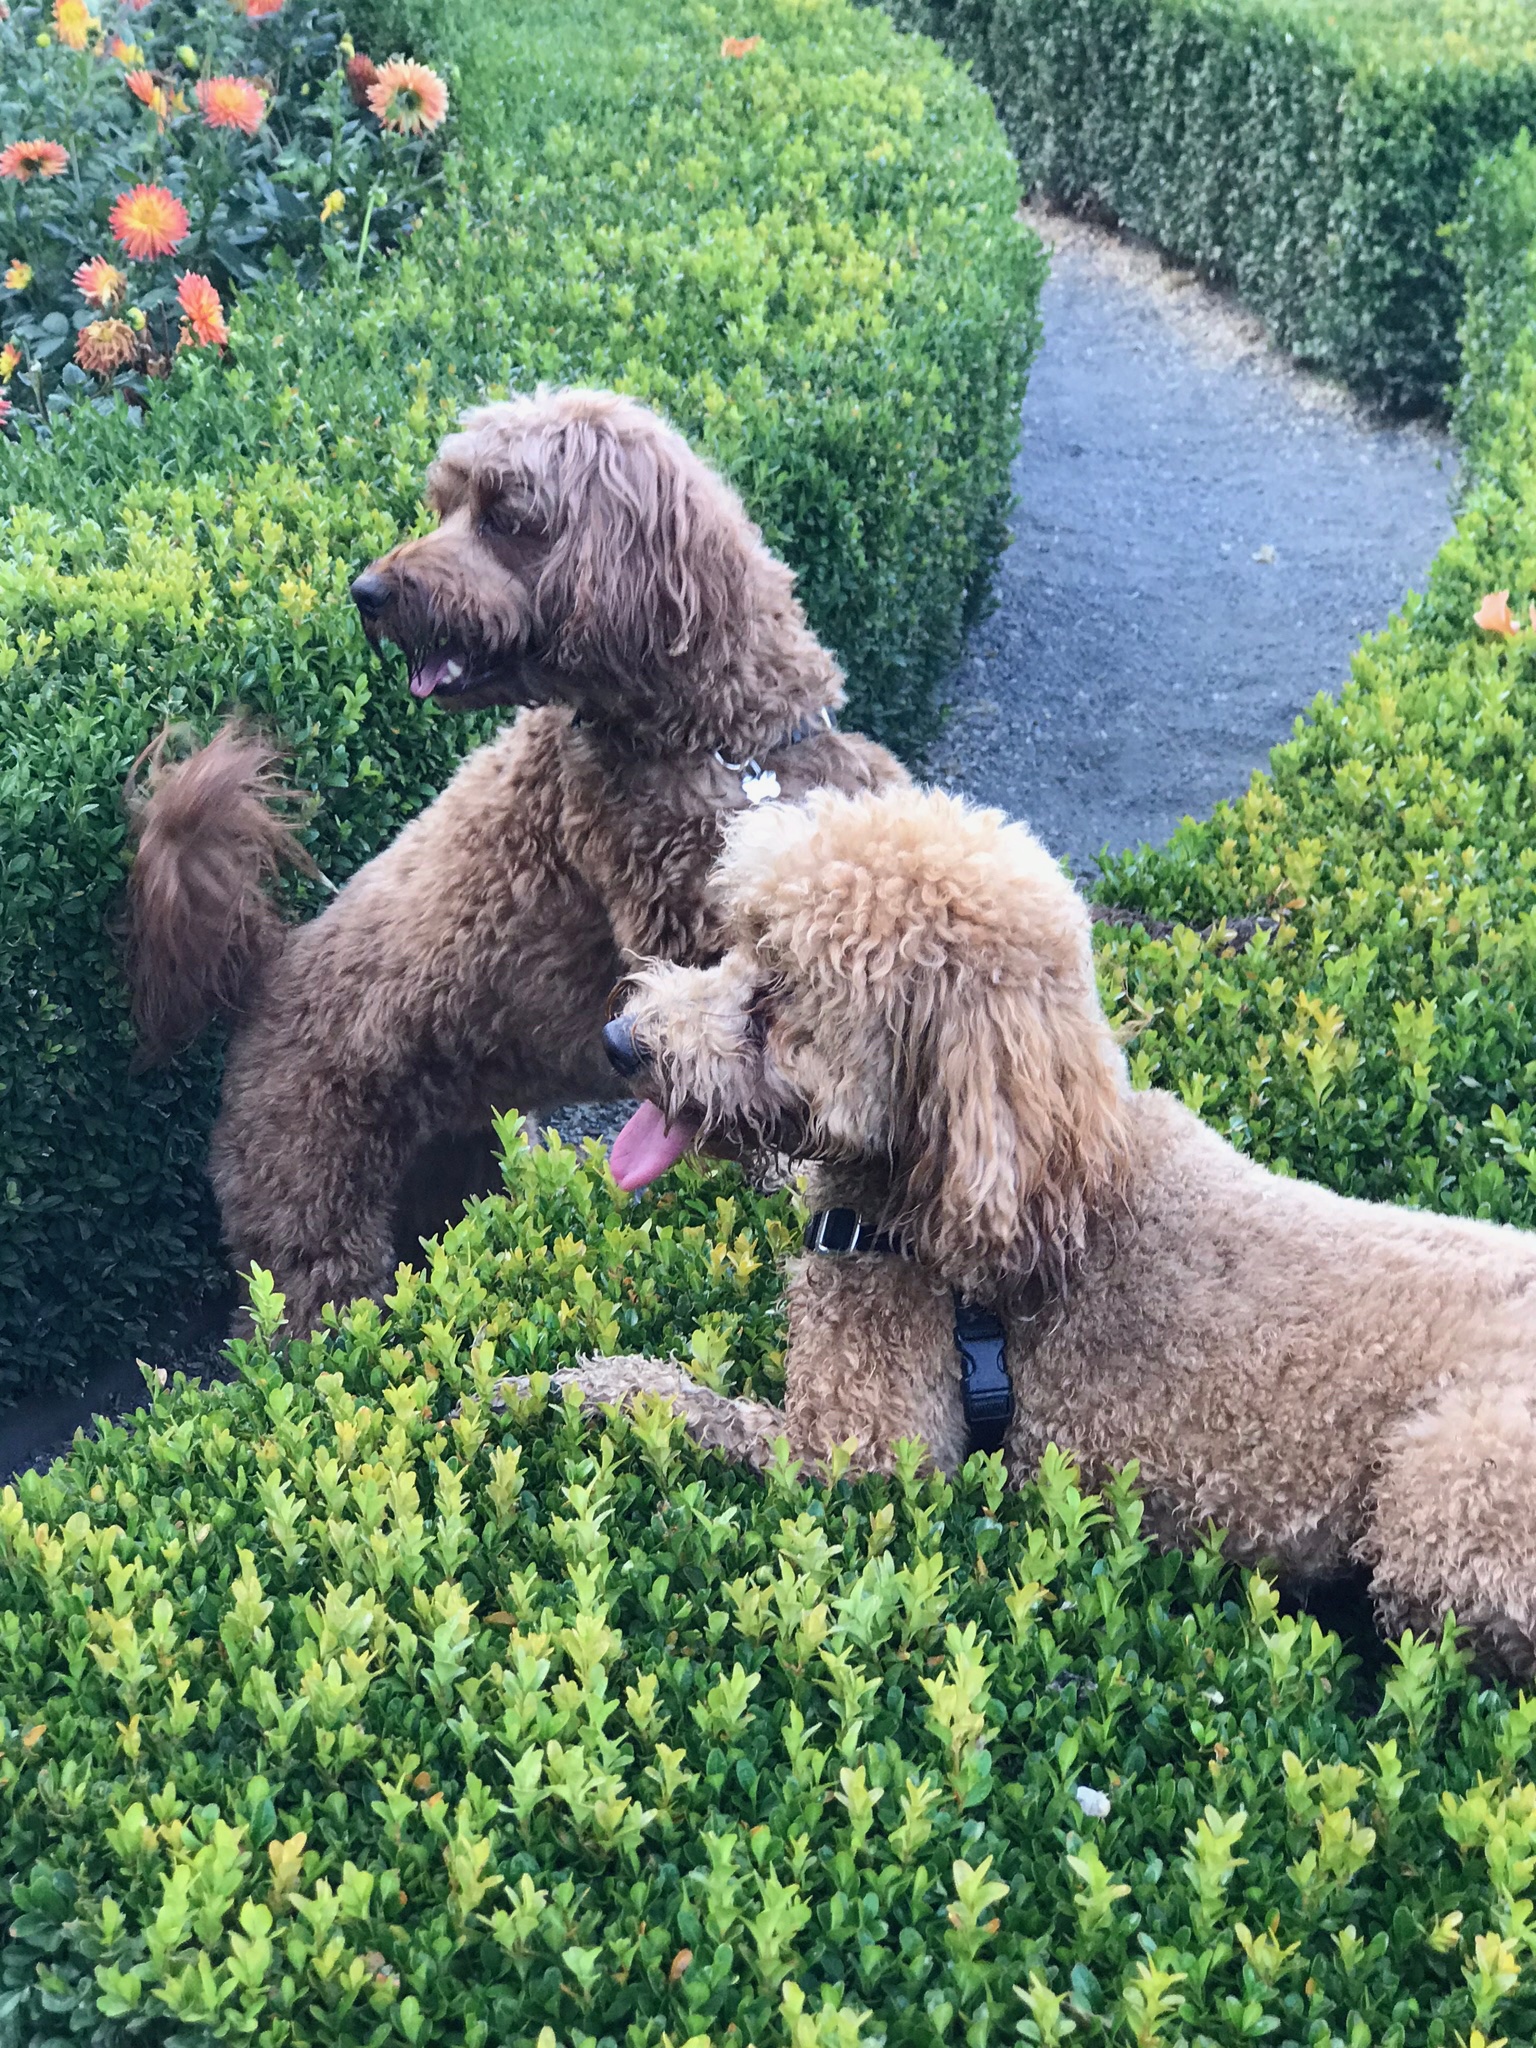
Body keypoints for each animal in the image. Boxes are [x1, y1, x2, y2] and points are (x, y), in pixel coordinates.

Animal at [124, 388, 905, 1335]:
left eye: (503, 517)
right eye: (446, 505)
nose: (367, 592)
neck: (717, 743)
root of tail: (264, 972)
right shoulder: (675, 934)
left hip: (463, 1175)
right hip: (311, 1205)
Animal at [550, 783, 1536, 1675]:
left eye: (780, 990)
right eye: (735, 946)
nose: (621, 1042)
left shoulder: (863, 1455)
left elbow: (688, 1406)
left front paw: (573, 1386)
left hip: (1448, 1491)